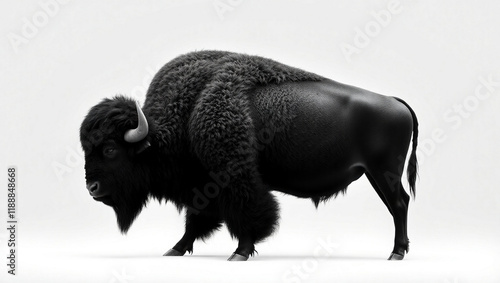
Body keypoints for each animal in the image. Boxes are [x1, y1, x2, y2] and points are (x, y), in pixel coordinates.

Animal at [81, 50, 418, 262]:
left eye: (110, 150)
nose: (92, 188)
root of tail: (396, 102)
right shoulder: (202, 186)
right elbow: (196, 220)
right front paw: (174, 249)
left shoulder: (234, 178)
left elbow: (247, 214)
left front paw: (240, 252)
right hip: (376, 174)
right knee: (398, 204)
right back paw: (397, 251)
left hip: (383, 172)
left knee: (400, 204)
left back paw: (396, 253)